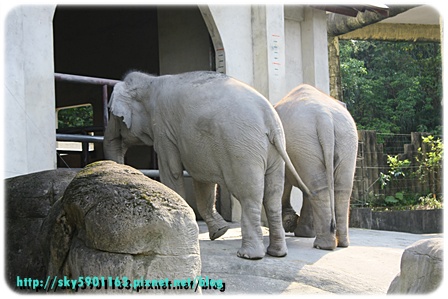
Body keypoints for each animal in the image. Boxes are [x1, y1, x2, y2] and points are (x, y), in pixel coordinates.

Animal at [272, 84, 356, 251]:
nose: (290, 224)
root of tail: (325, 118)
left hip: (311, 142)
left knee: (319, 187)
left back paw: (324, 245)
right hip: (340, 141)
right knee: (336, 189)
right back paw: (338, 243)